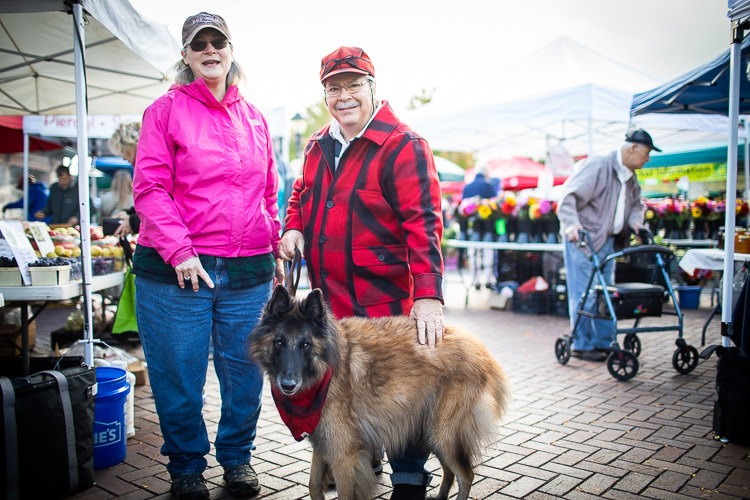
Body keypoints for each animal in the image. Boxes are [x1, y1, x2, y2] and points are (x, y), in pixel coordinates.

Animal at [251, 286, 512, 500]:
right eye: (279, 343)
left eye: (305, 345)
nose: (288, 385)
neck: (326, 368)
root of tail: (481, 350)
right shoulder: (324, 442)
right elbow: (314, 485)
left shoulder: (344, 454)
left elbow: (343, 493)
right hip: (432, 432)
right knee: (450, 471)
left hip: (444, 434)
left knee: (466, 475)